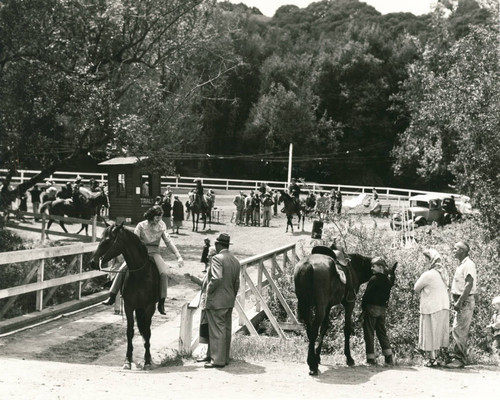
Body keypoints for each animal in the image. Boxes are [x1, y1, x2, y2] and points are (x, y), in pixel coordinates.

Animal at [90, 220, 159, 370]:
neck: (140, 274)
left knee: (146, 331)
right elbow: (130, 332)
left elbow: (147, 332)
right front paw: (127, 360)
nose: (92, 262)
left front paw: (147, 360)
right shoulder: (129, 306)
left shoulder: (149, 307)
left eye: (107, 240)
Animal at [294, 244, 388, 376]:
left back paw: (312, 361)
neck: (354, 267)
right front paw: (349, 358)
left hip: (307, 305)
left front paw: (318, 357)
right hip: (320, 307)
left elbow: (324, 328)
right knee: (313, 331)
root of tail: (307, 265)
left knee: (309, 330)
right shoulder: (349, 303)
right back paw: (312, 366)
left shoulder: (328, 306)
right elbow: (347, 329)